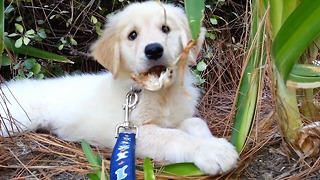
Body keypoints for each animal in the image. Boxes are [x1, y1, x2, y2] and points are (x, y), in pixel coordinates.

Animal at [0, 0, 238, 175]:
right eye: (132, 35)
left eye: (165, 29)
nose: (153, 50)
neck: (160, 93)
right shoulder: (133, 132)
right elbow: (174, 137)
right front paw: (212, 151)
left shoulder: (177, 118)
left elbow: (196, 122)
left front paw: (212, 141)